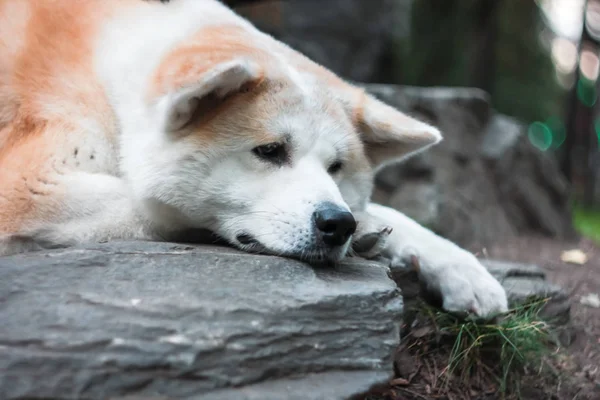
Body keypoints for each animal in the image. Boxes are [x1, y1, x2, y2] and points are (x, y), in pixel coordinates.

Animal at [0, 0, 506, 318]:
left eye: (336, 167)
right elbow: (159, 207)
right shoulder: (28, 184)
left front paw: (461, 269)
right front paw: (367, 231)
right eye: (269, 151)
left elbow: (393, 213)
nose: (337, 223)